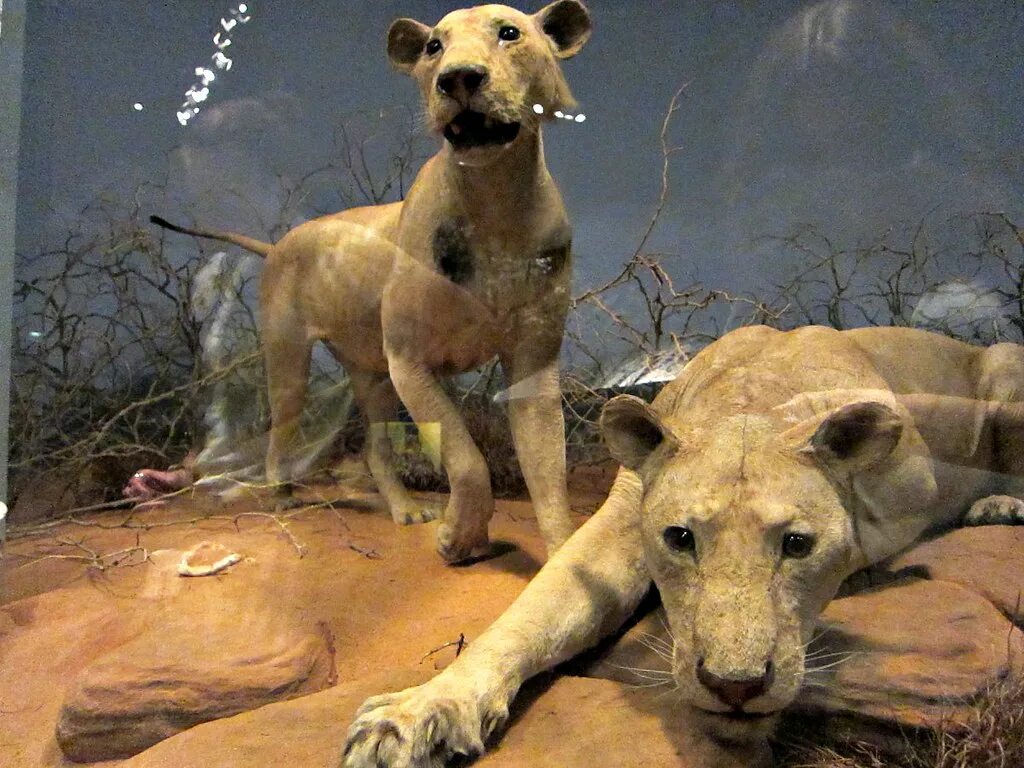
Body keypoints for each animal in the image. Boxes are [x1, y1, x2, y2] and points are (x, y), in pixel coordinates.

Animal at [150, 1, 593, 565]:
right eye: (434, 46)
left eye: (509, 33)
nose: (458, 78)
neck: (496, 201)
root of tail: (278, 243)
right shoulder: (409, 359)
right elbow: (467, 459)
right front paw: (459, 538)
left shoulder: (533, 361)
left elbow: (548, 470)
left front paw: (561, 555)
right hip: (292, 360)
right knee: (280, 429)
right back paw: (281, 493)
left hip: (371, 375)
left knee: (373, 449)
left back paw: (404, 510)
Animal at [342, 325, 1024, 768]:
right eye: (680, 538)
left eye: (796, 545)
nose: (735, 687)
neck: (752, 404)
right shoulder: (622, 519)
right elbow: (530, 616)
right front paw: (414, 715)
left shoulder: (916, 482)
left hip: (1006, 367)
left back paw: (999, 505)